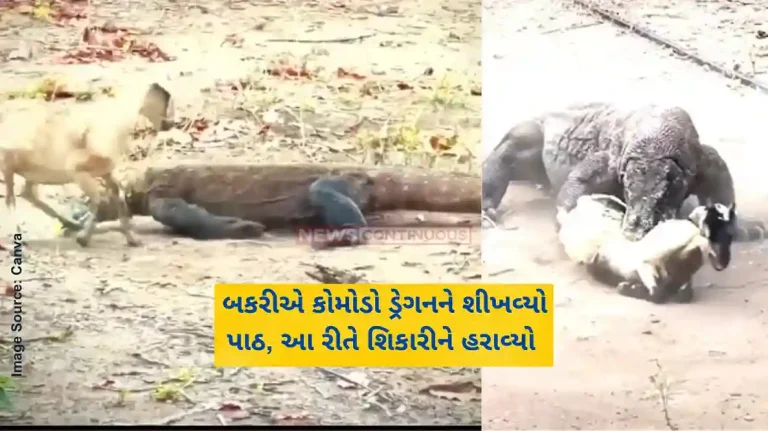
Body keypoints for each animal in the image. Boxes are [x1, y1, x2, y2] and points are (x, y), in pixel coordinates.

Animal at [0, 81, 175, 247]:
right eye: (166, 102)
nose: (171, 122)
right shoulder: (78, 167)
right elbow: (99, 199)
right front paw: (84, 238)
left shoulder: (106, 172)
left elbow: (117, 196)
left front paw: (132, 239)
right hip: (15, 160)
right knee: (12, 192)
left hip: (31, 171)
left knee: (26, 193)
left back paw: (70, 224)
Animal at [557, 194, 736, 303]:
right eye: (708, 227)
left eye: (730, 234)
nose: (723, 262)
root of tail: (584, 201)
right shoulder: (644, 265)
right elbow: (657, 294)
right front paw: (627, 288)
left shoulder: (684, 281)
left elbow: (684, 294)